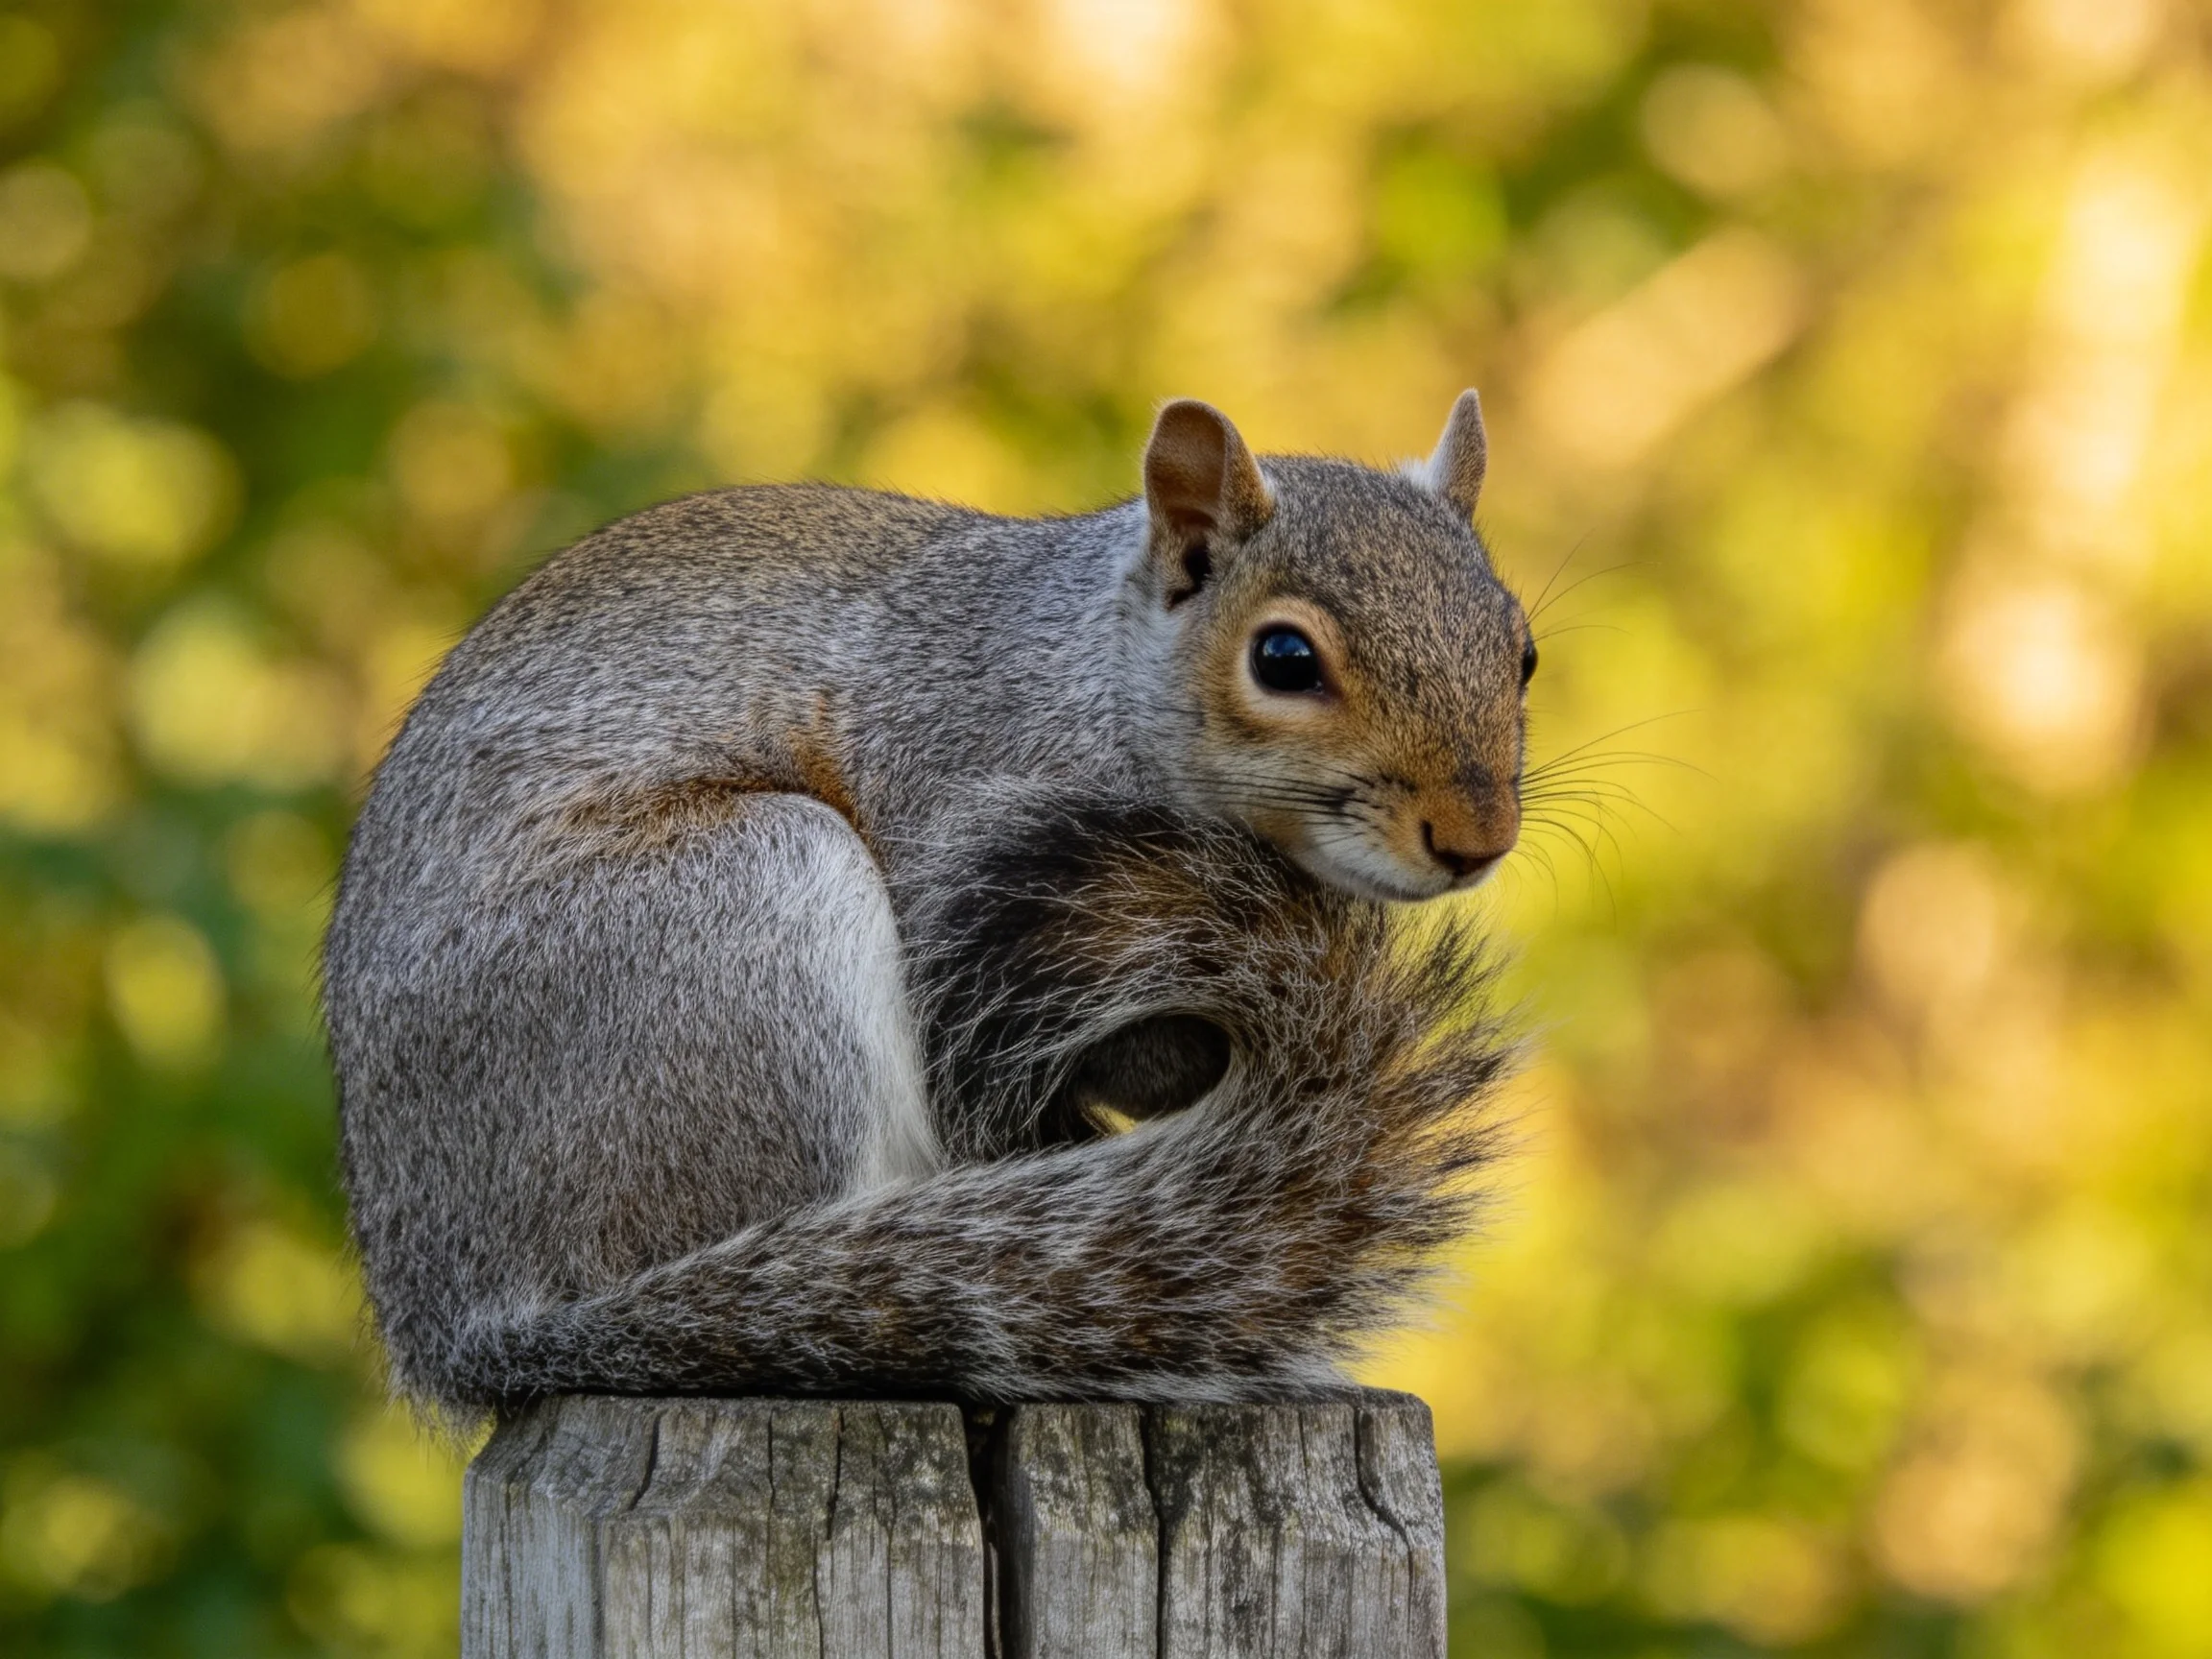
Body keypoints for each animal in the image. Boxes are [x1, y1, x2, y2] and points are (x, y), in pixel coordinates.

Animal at [322, 392, 1532, 1414]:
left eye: (1520, 652)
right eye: (1282, 657)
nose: (1476, 840)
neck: (1093, 676)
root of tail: (456, 1315)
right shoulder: (957, 824)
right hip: (739, 925)